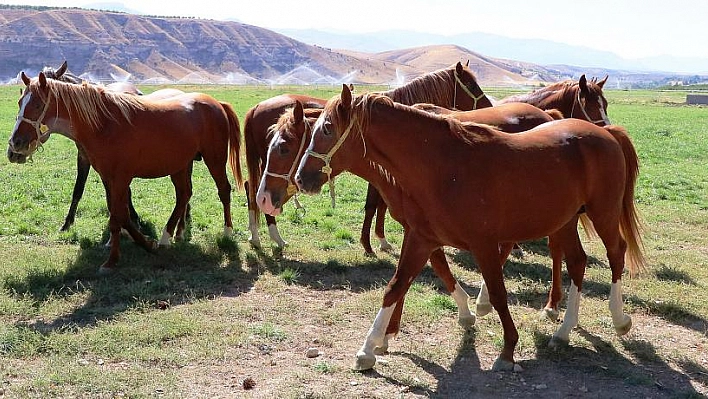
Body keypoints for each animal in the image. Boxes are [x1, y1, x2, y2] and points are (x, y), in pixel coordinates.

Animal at [8, 72, 243, 274]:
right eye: (20, 102)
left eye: (38, 104)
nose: (15, 144)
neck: (104, 124)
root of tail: (216, 103)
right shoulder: (109, 178)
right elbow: (120, 214)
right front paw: (145, 243)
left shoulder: (121, 178)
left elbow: (117, 218)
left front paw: (112, 261)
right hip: (180, 165)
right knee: (184, 195)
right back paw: (167, 237)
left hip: (214, 160)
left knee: (223, 190)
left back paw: (227, 232)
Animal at [245, 61, 492, 250]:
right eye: (471, 84)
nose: (488, 105)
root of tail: (255, 107)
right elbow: (374, 205)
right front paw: (375, 242)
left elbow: (377, 204)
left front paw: (376, 240)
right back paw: (274, 237)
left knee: (253, 188)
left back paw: (257, 236)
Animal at [292, 86, 640, 374]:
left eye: (327, 128)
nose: (301, 178)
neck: (443, 167)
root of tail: (605, 133)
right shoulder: (421, 238)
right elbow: (396, 287)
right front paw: (369, 348)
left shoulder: (482, 243)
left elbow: (498, 293)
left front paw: (507, 349)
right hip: (564, 220)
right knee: (578, 261)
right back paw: (563, 331)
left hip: (603, 213)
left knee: (616, 254)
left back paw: (620, 320)